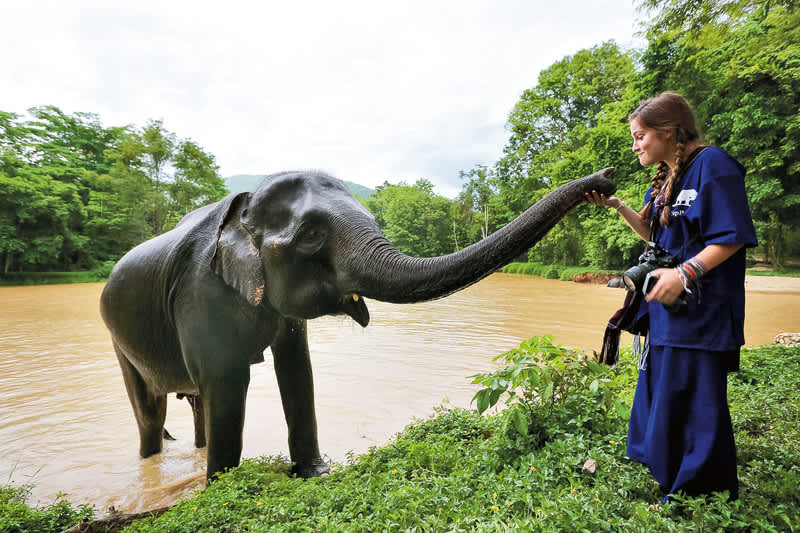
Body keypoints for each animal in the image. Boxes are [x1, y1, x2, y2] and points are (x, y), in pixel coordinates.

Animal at [100, 167, 615, 481]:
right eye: (311, 236)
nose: (607, 180)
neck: (241, 210)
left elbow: (297, 370)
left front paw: (315, 473)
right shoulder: (199, 292)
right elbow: (227, 383)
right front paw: (221, 489)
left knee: (194, 404)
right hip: (116, 336)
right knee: (151, 411)